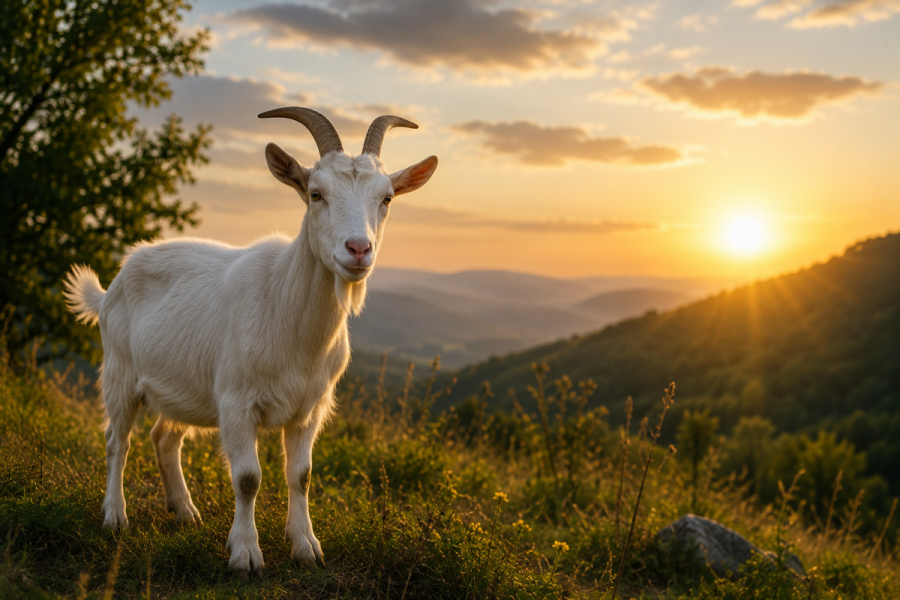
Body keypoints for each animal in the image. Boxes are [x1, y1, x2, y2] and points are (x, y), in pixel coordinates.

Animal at [63, 107, 438, 576]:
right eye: (315, 194)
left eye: (386, 199)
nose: (358, 249)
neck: (291, 322)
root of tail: (113, 283)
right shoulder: (236, 401)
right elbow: (247, 478)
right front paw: (245, 554)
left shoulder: (310, 408)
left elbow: (302, 475)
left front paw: (305, 546)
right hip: (119, 371)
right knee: (118, 440)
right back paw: (115, 516)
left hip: (184, 385)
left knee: (164, 437)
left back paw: (184, 511)